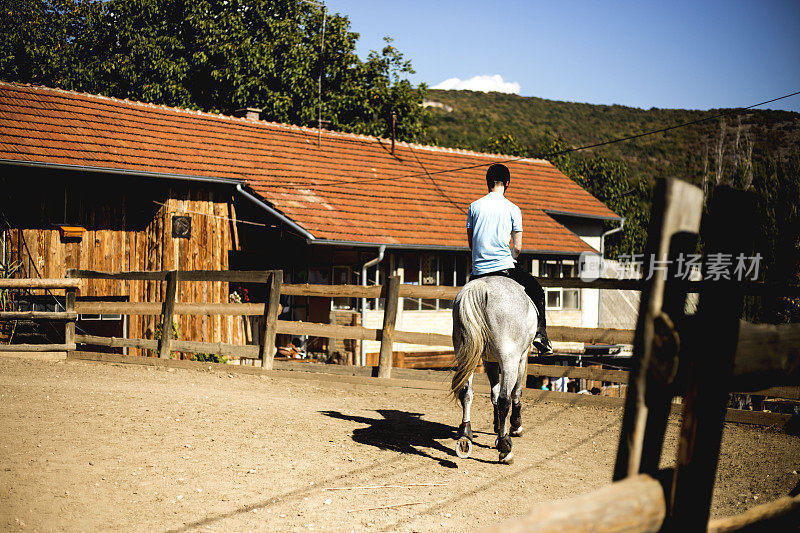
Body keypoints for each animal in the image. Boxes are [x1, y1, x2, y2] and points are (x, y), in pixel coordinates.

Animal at [450, 274, 536, 462]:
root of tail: (481, 287)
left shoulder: (489, 361)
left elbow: (494, 393)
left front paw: (497, 426)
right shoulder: (521, 358)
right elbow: (515, 392)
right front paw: (515, 426)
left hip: (466, 355)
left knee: (466, 392)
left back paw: (465, 436)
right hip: (509, 358)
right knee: (505, 400)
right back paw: (505, 448)